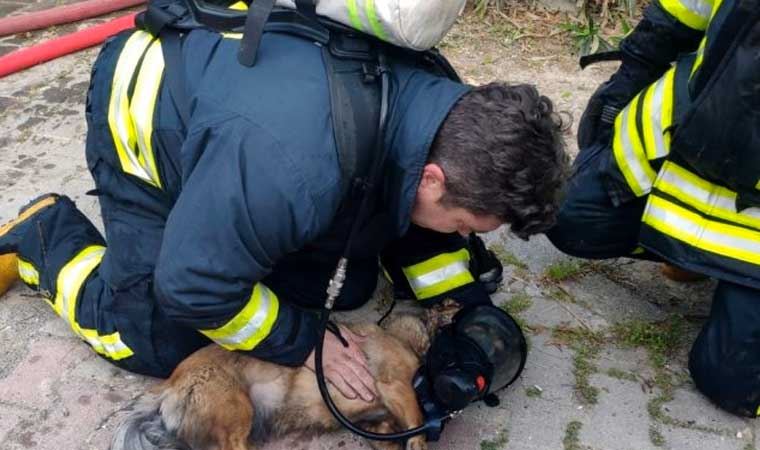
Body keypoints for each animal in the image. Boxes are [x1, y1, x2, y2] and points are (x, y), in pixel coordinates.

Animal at [110, 312, 454, 450]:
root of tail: (170, 383)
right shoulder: (396, 384)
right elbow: (416, 421)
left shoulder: (375, 423)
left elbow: (387, 433)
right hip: (236, 409)